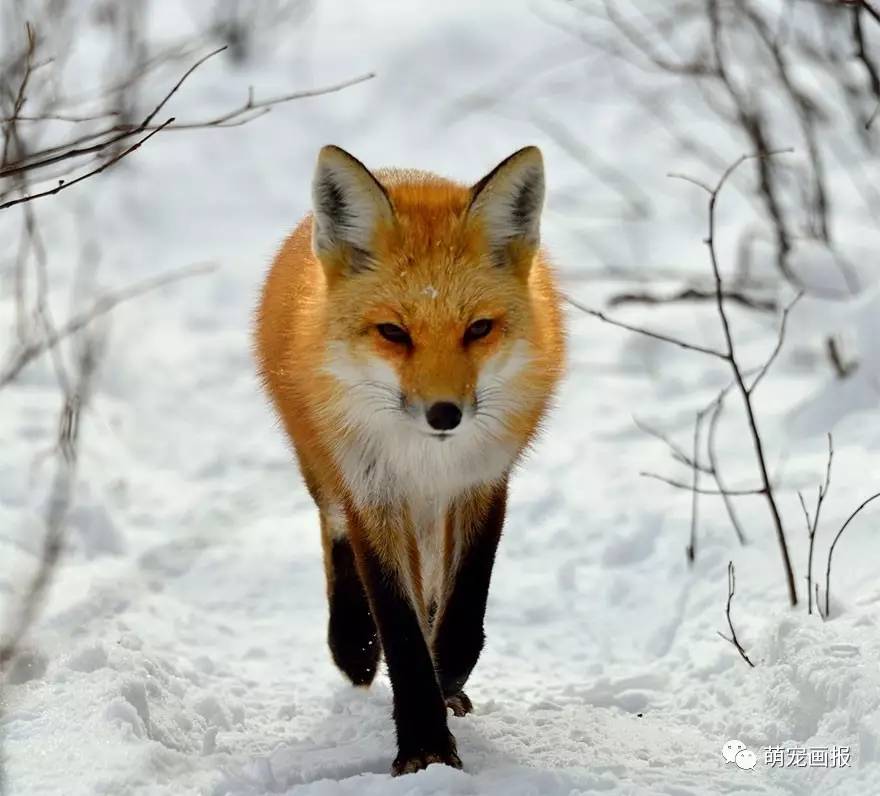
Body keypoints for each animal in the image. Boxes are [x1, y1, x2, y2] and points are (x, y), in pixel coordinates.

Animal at [253, 146, 564, 776]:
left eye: (478, 329)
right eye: (394, 333)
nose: (444, 415)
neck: (426, 460)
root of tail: (402, 171)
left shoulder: (482, 481)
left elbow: (464, 603)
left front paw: (445, 682)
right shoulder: (373, 491)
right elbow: (398, 624)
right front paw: (424, 744)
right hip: (326, 470)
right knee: (335, 533)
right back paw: (352, 645)